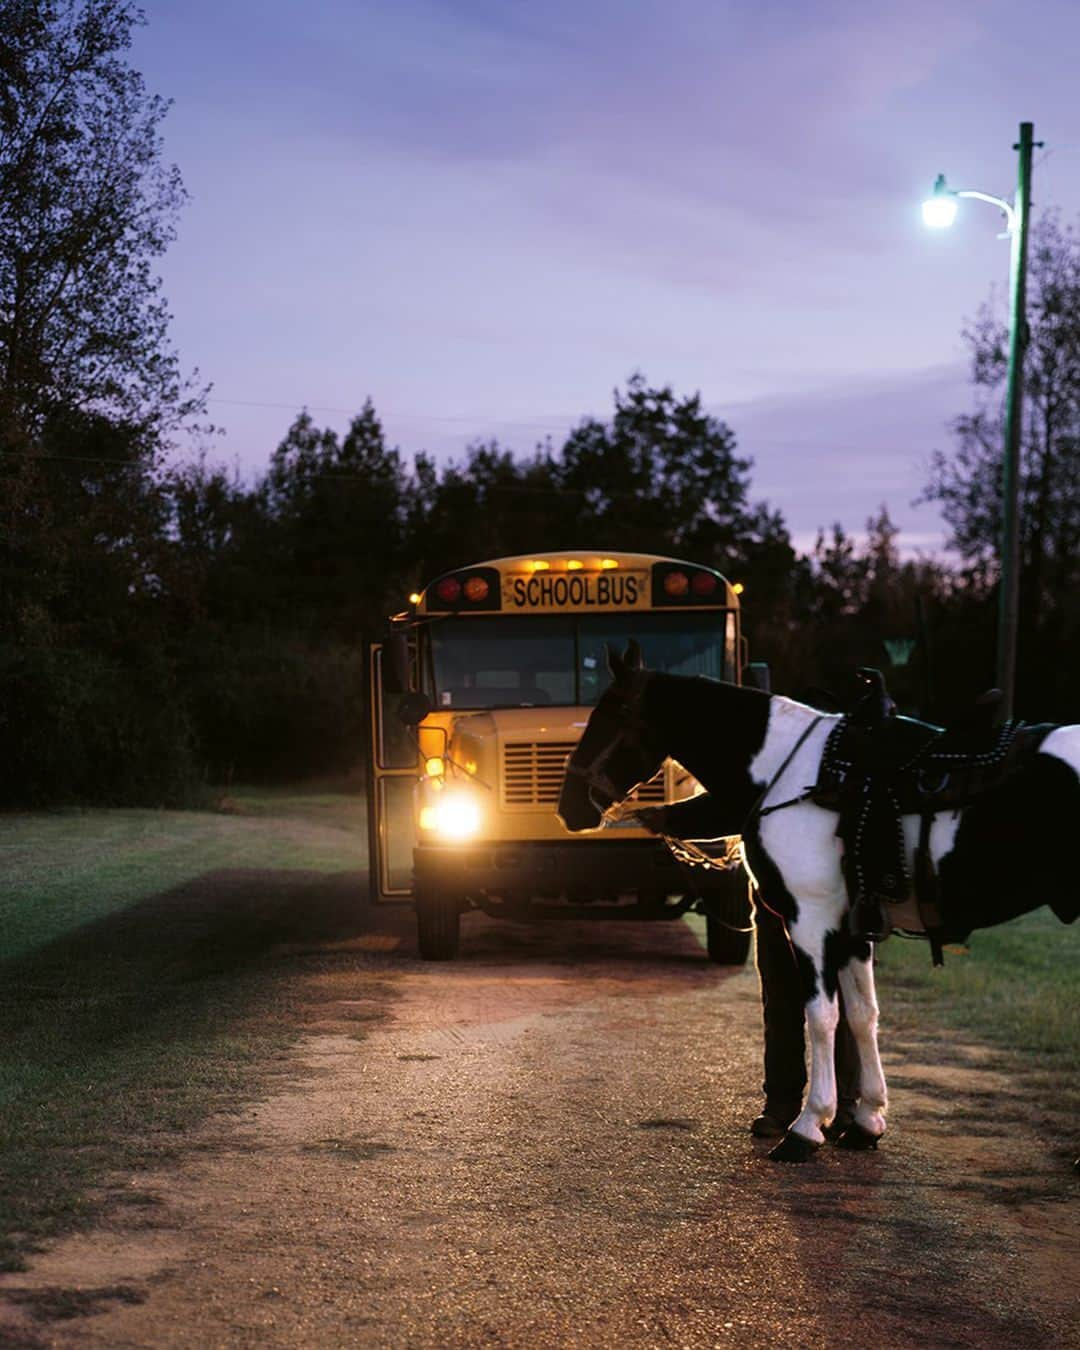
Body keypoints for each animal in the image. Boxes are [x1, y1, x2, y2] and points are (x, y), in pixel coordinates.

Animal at [561, 642, 1074, 1161]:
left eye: (610, 715)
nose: (569, 808)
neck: (789, 774)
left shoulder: (810, 922)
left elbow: (822, 1016)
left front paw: (808, 1126)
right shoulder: (852, 927)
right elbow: (863, 1015)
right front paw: (867, 1121)